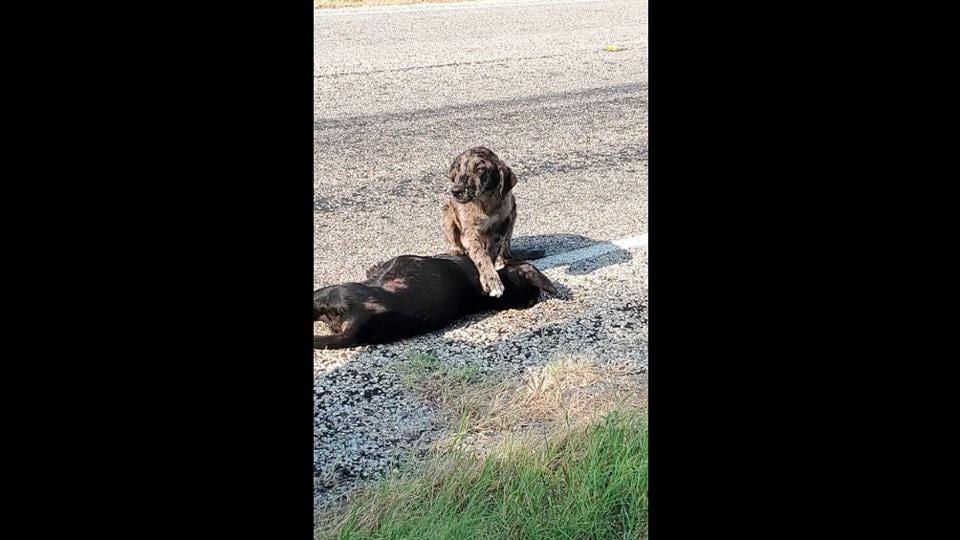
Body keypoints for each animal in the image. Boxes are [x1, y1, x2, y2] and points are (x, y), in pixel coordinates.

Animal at [442, 146, 516, 298]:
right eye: (458, 168)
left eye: (480, 169)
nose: (455, 191)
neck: (484, 202)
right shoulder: (468, 232)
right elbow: (480, 253)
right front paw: (491, 280)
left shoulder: (502, 224)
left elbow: (492, 250)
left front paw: (490, 275)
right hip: (447, 211)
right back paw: (456, 249)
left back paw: (503, 256)